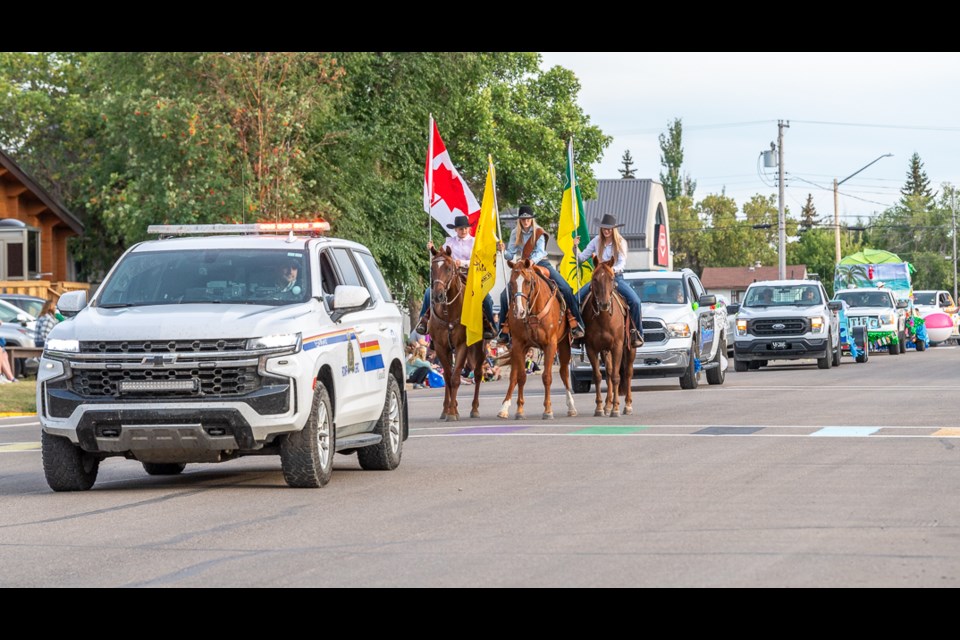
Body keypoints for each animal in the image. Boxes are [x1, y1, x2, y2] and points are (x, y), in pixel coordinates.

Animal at [430, 248, 484, 422]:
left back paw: (475, 409)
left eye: (448, 268)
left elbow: (455, 379)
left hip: (480, 348)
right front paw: (448, 410)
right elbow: (447, 377)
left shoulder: (462, 345)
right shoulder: (440, 347)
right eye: (432, 269)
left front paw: (453, 412)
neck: (449, 312)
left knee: (478, 374)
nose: (438, 296)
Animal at [496, 260, 576, 420]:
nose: (519, 311)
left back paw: (571, 406)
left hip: (564, 344)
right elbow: (521, 377)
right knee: (513, 376)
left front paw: (548, 410)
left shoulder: (550, 345)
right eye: (511, 283)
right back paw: (504, 408)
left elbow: (547, 377)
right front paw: (519, 411)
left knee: (564, 373)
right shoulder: (519, 345)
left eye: (528, 282)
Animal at [580, 258, 632, 418]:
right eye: (594, 279)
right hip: (605, 351)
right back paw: (608, 405)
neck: (604, 319)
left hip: (630, 348)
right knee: (608, 372)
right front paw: (599, 408)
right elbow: (598, 376)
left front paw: (616, 409)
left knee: (628, 372)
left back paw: (627, 405)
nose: (604, 304)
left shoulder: (617, 347)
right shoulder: (591, 348)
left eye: (612, 278)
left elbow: (616, 376)